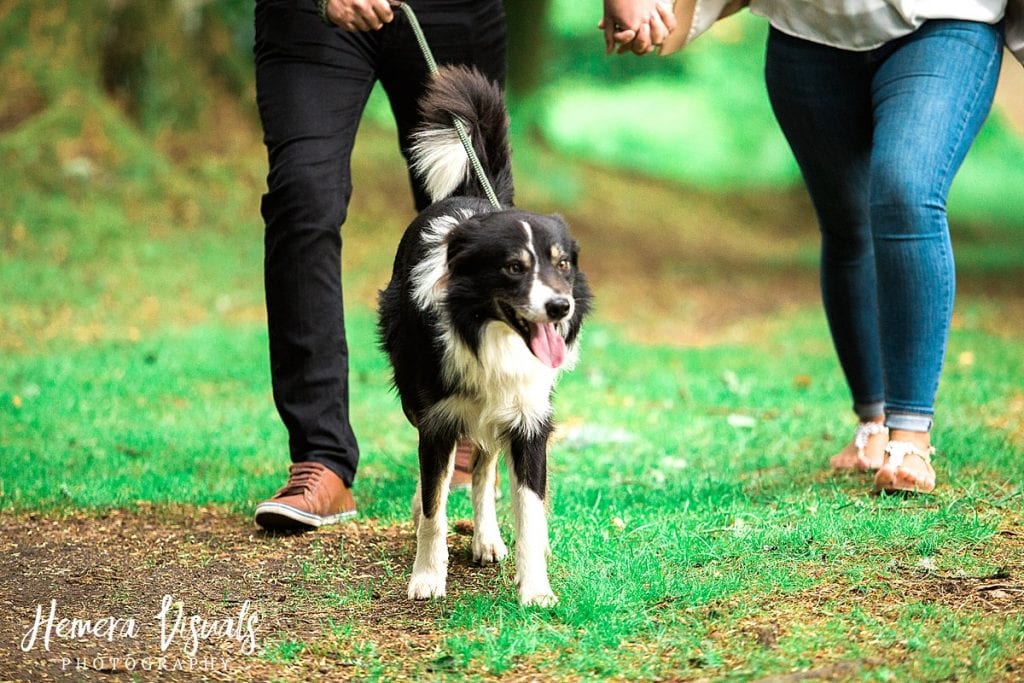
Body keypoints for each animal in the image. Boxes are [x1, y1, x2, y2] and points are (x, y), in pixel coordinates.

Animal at [378, 65, 593, 610]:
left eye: (562, 264)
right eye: (514, 267)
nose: (560, 307)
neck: (492, 337)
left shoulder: (530, 417)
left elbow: (529, 511)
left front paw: (535, 587)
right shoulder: (437, 418)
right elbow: (434, 508)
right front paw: (427, 578)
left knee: (484, 467)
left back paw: (488, 537)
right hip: (417, 397)